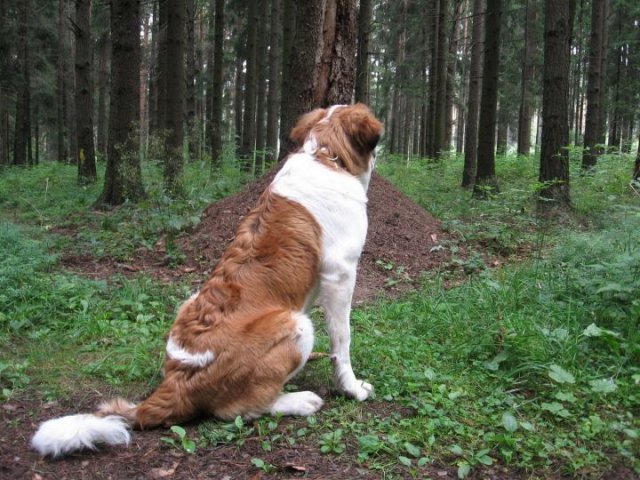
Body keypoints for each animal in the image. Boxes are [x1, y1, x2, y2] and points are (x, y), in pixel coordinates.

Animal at [32, 102, 382, 458]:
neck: (326, 154)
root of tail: (178, 379)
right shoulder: (341, 275)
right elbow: (343, 342)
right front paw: (351, 388)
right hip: (295, 324)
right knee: (239, 409)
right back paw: (298, 400)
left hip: (190, 302)